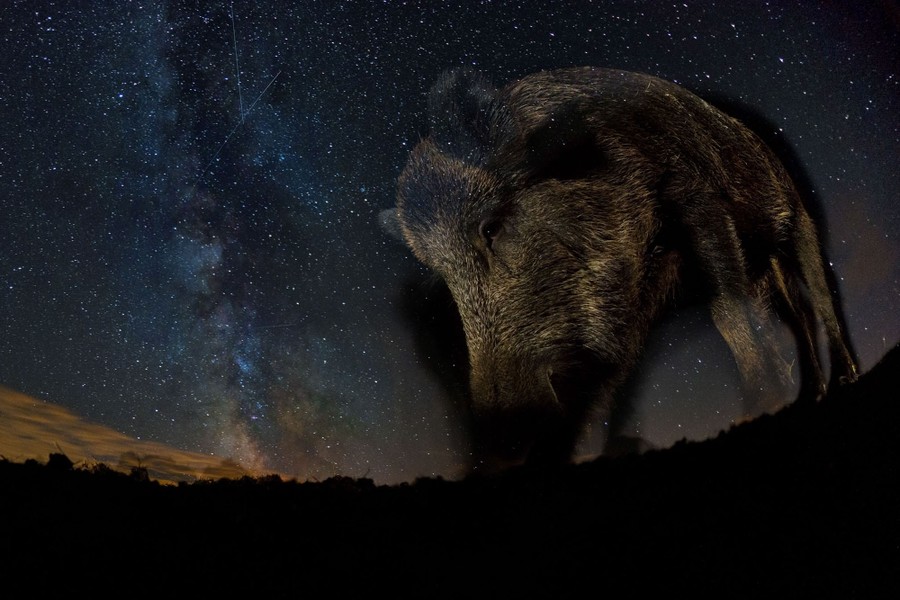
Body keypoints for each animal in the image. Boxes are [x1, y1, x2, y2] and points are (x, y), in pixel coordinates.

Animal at [382, 67, 858, 471]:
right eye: (443, 274)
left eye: (490, 228)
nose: (501, 442)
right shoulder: (628, 307)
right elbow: (604, 388)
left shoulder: (696, 197)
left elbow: (729, 312)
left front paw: (763, 399)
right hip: (766, 268)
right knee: (798, 317)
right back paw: (814, 393)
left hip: (797, 219)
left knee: (820, 298)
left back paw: (844, 378)